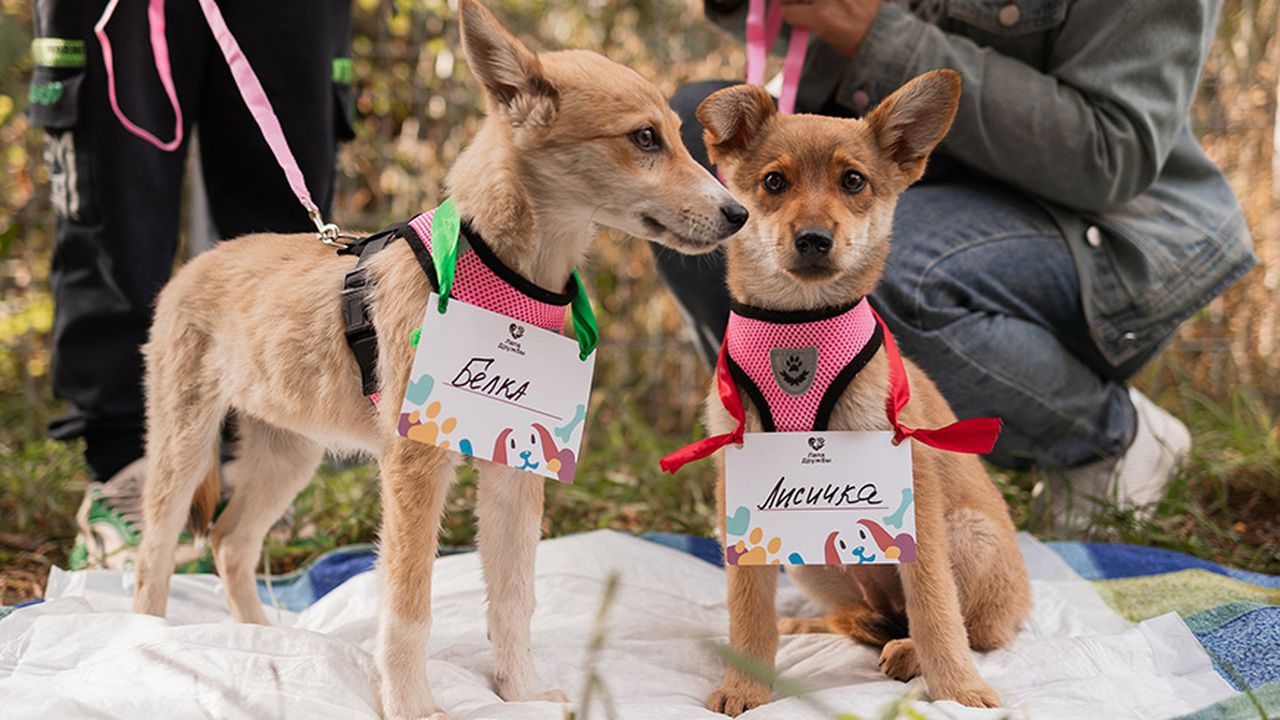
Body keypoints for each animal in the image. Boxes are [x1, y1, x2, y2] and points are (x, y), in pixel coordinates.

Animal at [129, 2, 747, 712]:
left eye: (675, 135)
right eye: (645, 139)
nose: (739, 214)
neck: (501, 274)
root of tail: (195, 262)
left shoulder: (515, 470)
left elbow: (513, 596)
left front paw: (521, 692)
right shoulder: (414, 466)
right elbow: (408, 606)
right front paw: (411, 706)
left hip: (288, 452)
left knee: (231, 543)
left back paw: (266, 642)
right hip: (183, 445)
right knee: (154, 554)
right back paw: (142, 644)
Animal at [696, 70, 1034, 707]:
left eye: (853, 180)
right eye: (774, 182)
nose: (812, 238)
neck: (798, 328)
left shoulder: (913, 485)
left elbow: (936, 607)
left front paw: (958, 688)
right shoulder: (741, 486)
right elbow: (746, 606)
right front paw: (746, 683)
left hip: (967, 532)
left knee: (972, 626)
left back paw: (909, 651)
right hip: (811, 559)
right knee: (857, 614)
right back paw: (835, 623)